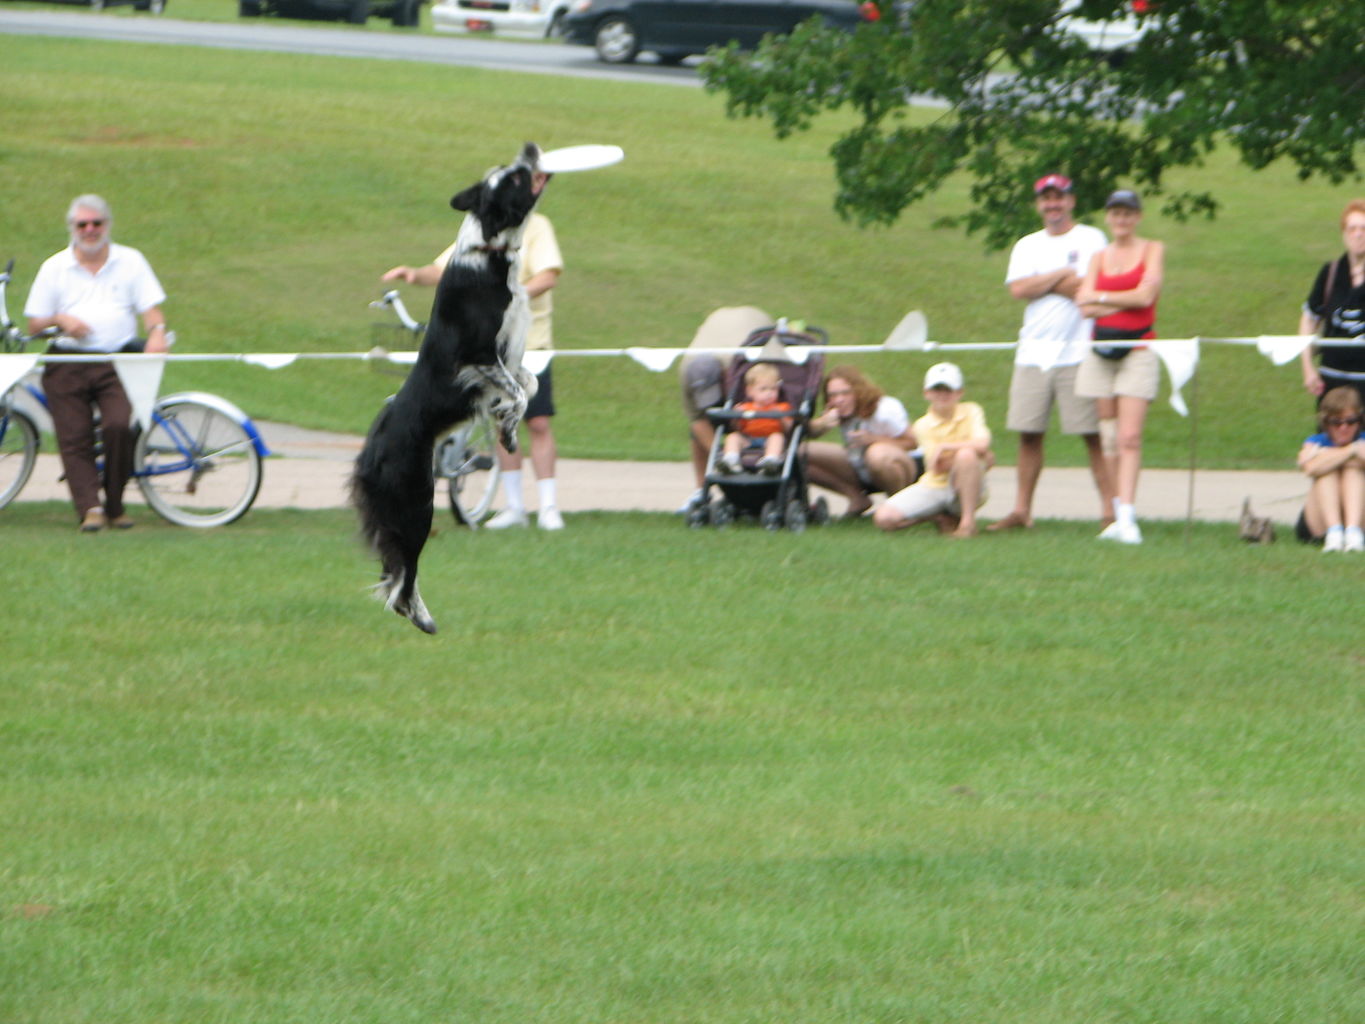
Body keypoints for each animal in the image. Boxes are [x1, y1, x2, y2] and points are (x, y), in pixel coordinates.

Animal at [349, 139, 546, 630]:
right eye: (514, 177)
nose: (530, 147)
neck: (490, 250)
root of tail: (367, 453)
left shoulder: (510, 357)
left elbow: (529, 384)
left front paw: (504, 422)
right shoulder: (476, 358)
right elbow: (518, 390)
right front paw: (508, 432)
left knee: (392, 567)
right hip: (416, 500)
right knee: (402, 572)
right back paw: (421, 618)